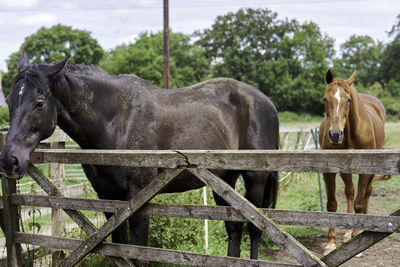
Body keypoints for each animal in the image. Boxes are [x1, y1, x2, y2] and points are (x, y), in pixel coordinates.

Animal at [0, 51, 278, 264]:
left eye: (39, 102)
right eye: (10, 101)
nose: (9, 160)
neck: (116, 122)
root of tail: (266, 102)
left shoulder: (139, 198)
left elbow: (138, 253)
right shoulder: (107, 198)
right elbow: (119, 249)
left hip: (255, 178)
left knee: (256, 229)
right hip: (225, 180)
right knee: (234, 229)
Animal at [318, 70, 386, 256]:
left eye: (348, 100)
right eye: (325, 99)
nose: (335, 135)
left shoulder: (365, 170)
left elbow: (359, 203)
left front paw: (357, 241)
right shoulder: (329, 170)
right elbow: (332, 204)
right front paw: (330, 244)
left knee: (366, 193)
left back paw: (359, 230)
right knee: (349, 192)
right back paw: (348, 233)